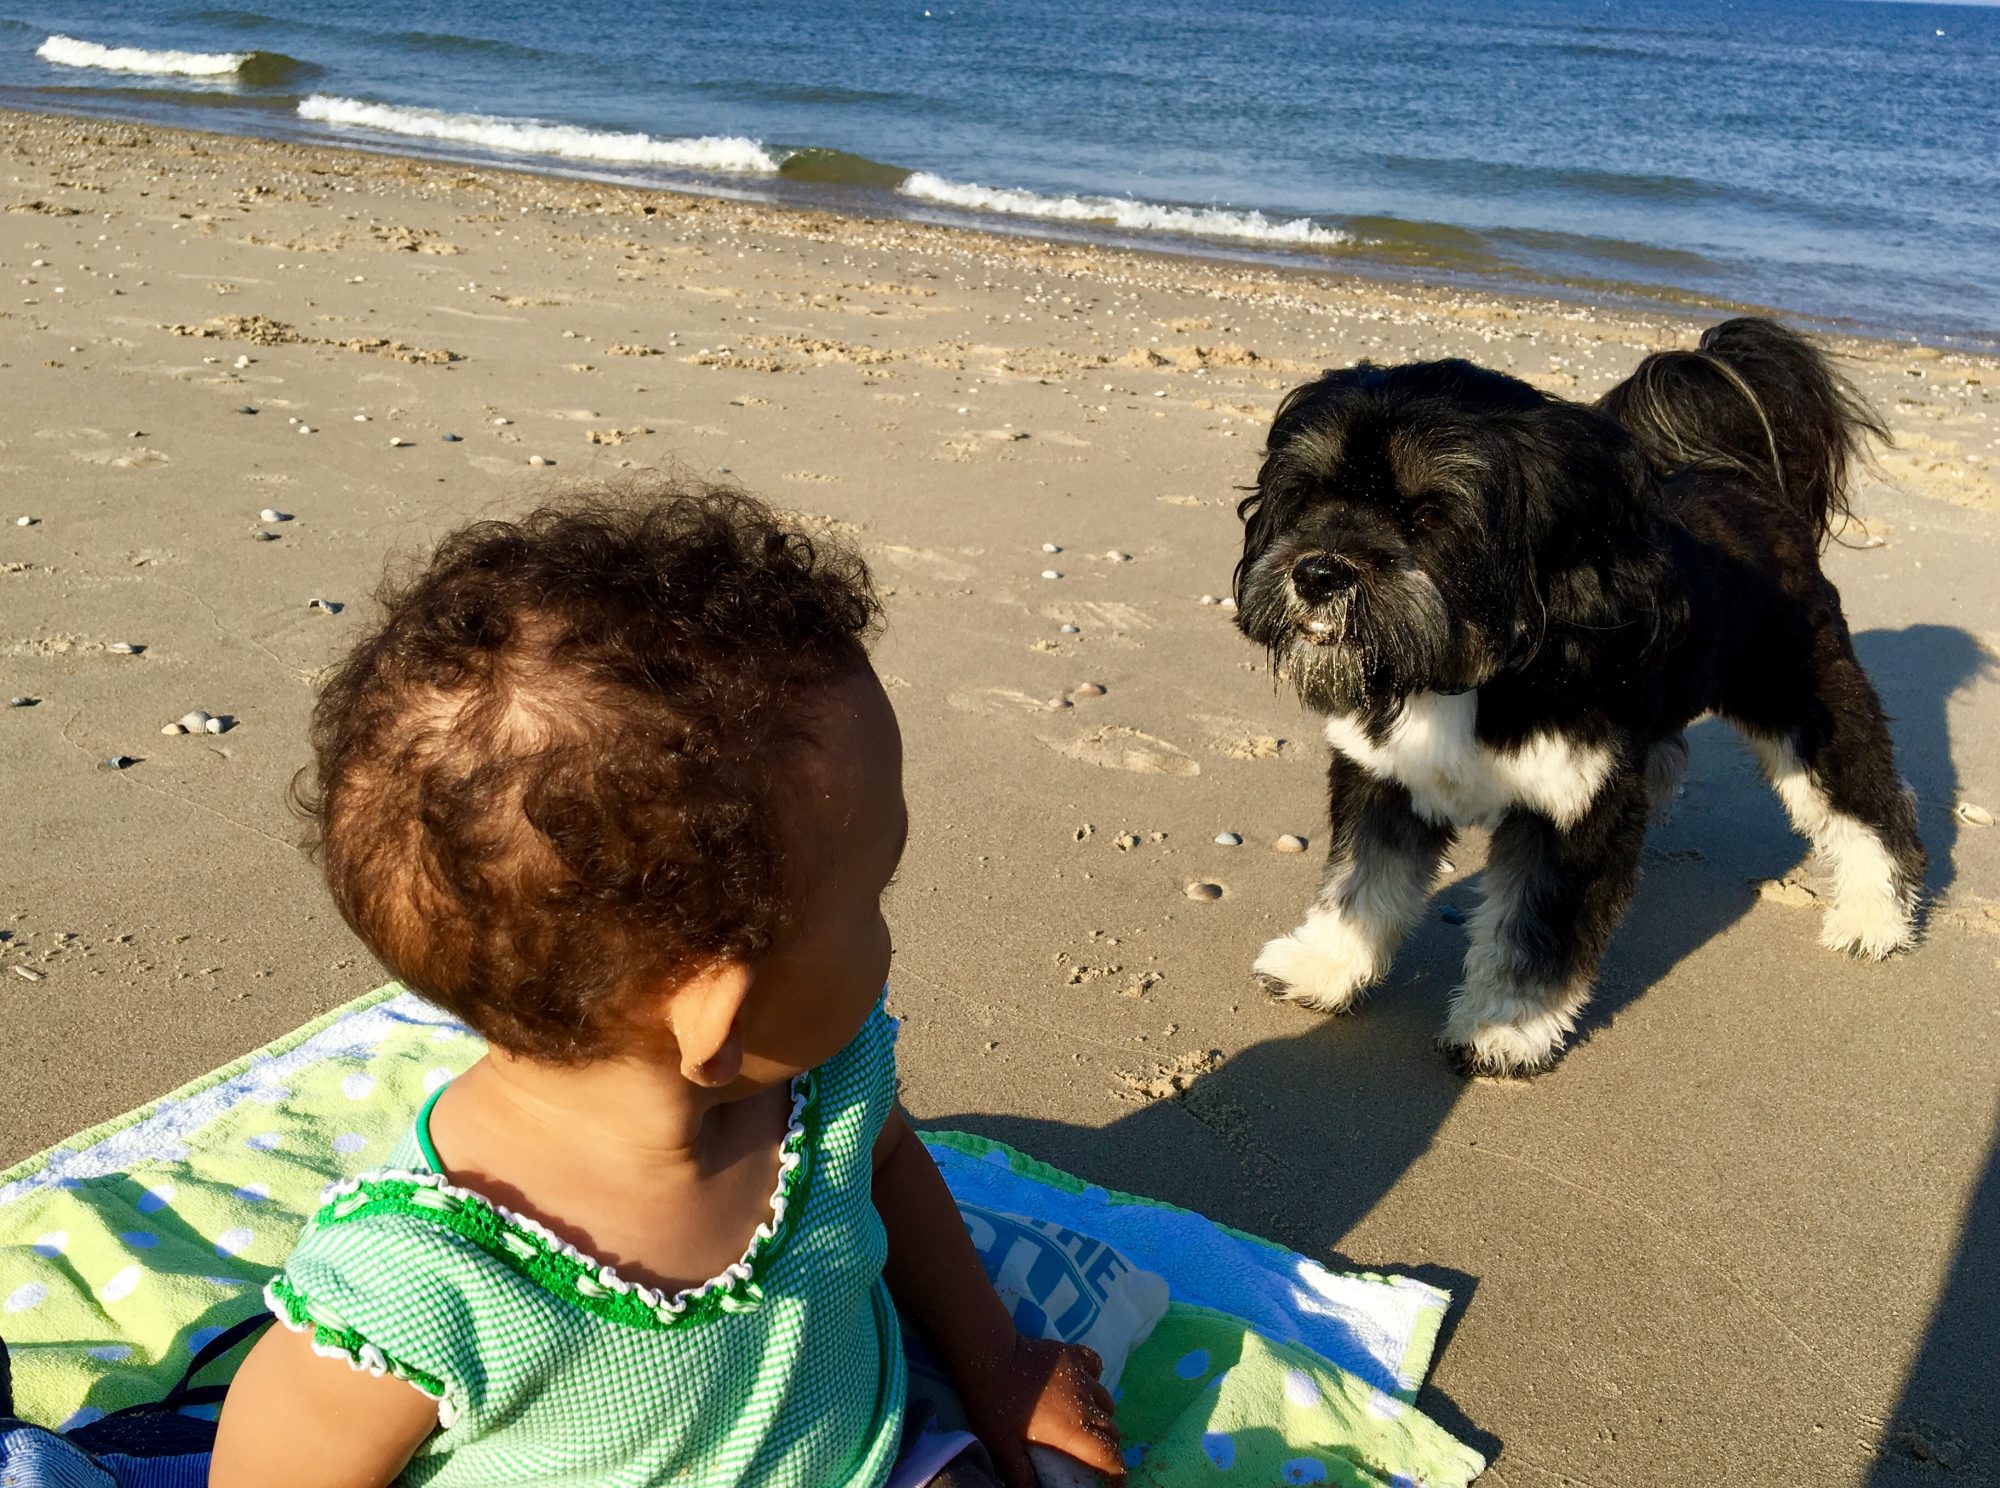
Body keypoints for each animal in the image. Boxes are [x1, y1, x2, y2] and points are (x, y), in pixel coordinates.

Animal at [1232, 320, 1920, 1072]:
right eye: (1310, 494)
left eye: (1429, 514)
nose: (1317, 573)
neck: (1472, 669)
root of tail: (1747, 483)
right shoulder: (1384, 779)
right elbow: (1359, 885)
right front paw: (1323, 965)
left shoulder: (1573, 813)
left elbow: (1533, 934)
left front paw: (1505, 1027)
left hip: (1804, 701)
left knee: (1867, 805)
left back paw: (1874, 917)